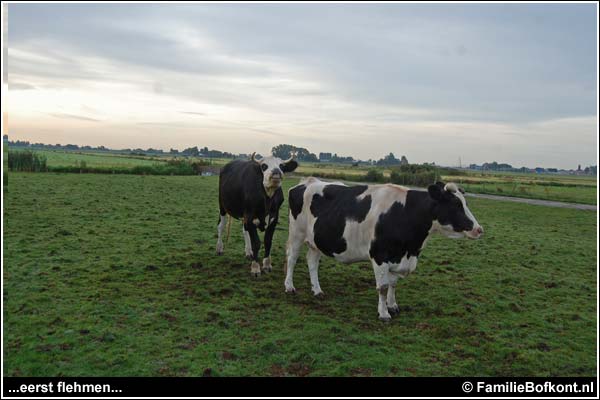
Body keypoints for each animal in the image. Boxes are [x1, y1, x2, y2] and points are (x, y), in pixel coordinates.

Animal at [284, 178, 486, 322]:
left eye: (465, 203)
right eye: (455, 205)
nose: (479, 229)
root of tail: (307, 182)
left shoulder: (398, 258)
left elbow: (393, 284)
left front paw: (393, 306)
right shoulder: (380, 256)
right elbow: (382, 287)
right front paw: (383, 314)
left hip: (316, 240)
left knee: (312, 262)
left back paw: (317, 290)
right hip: (296, 233)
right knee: (292, 259)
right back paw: (289, 286)